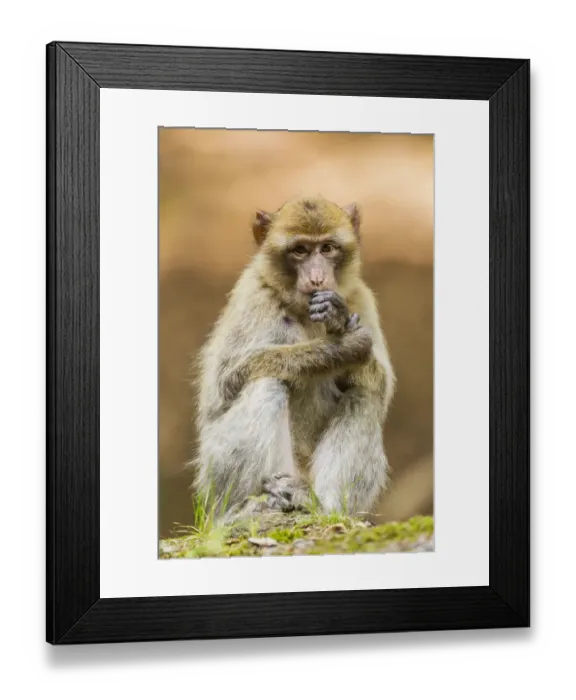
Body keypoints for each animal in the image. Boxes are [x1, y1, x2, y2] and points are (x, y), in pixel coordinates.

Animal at [191, 196, 396, 523]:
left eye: (327, 248)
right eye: (300, 250)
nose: (317, 278)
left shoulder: (361, 298)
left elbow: (382, 386)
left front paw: (338, 321)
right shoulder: (253, 295)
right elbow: (226, 382)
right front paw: (342, 346)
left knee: (365, 394)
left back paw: (321, 505)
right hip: (212, 478)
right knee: (267, 383)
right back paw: (239, 510)